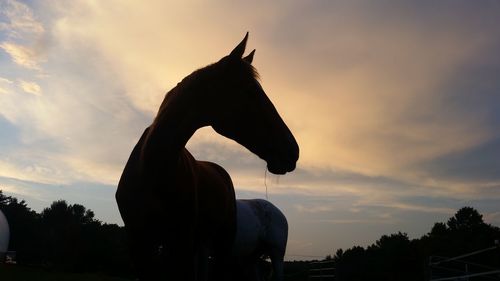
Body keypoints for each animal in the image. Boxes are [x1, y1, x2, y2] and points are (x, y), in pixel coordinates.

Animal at [116, 34, 296, 278]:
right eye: (250, 91)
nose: (293, 150)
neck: (151, 167)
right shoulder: (139, 244)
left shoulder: (182, 242)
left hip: (232, 246)